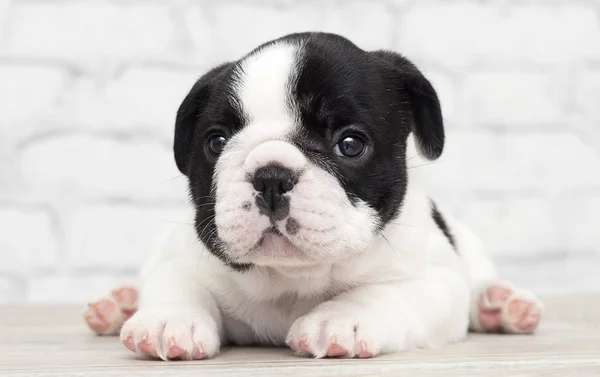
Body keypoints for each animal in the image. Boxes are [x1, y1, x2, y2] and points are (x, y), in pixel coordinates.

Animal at [83, 33, 540, 360]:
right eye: (216, 142)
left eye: (350, 144)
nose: (270, 176)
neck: (290, 280)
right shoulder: (179, 257)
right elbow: (178, 285)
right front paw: (167, 320)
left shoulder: (434, 281)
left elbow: (382, 292)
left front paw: (340, 319)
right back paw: (118, 305)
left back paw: (500, 304)